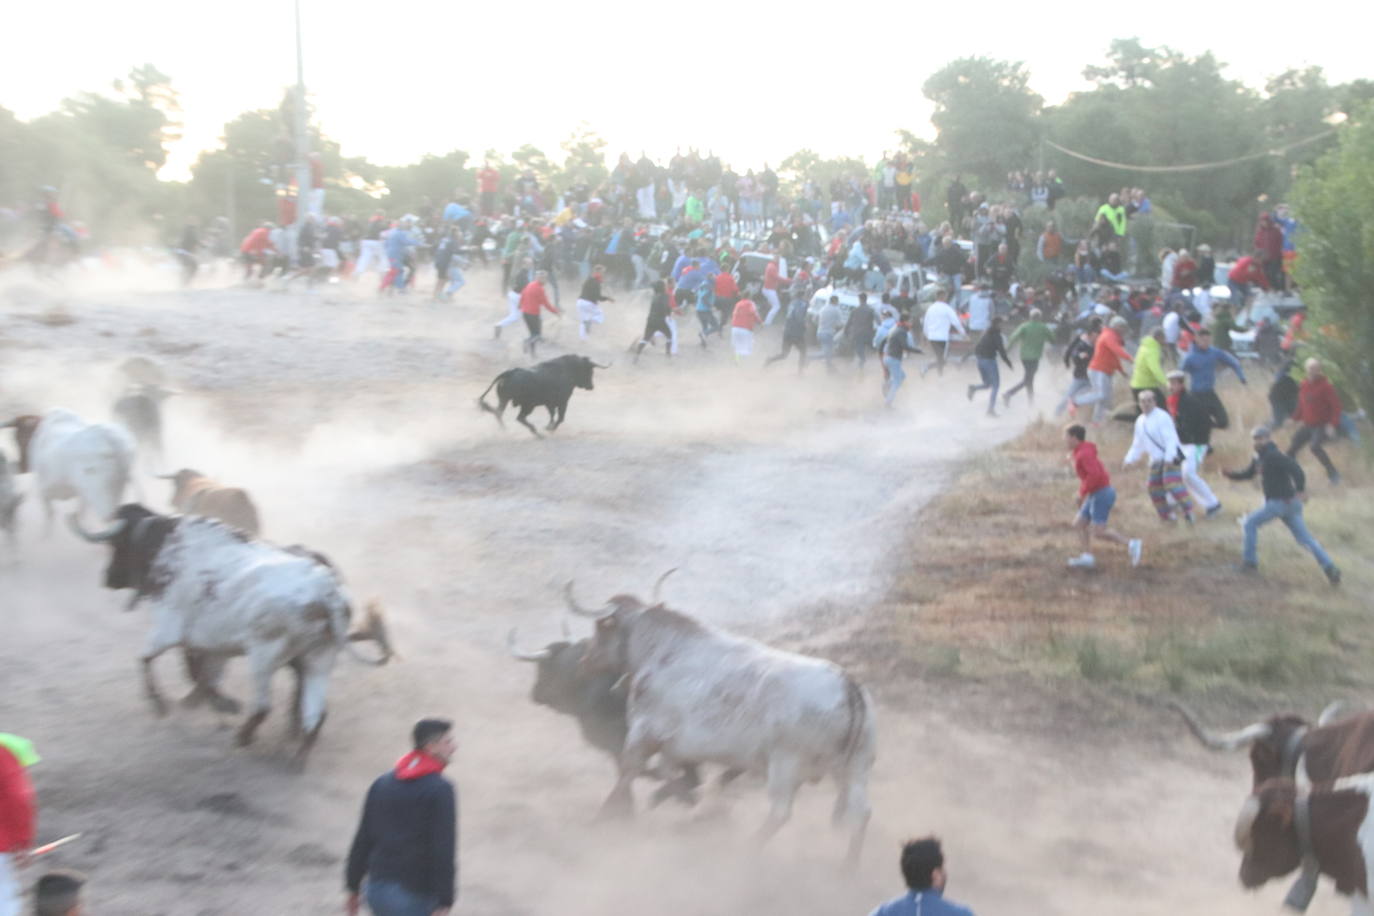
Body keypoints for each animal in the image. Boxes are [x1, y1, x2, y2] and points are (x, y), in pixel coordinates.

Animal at [478, 354, 607, 436]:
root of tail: (510, 372)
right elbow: (560, 418)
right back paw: (537, 434)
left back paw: (505, 430)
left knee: (498, 413)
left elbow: (552, 415)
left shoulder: (549, 403)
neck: (568, 370)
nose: (591, 386)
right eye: (589, 371)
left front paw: (548, 427)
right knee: (519, 418)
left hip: (504, 400)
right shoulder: (563, 401)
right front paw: (550, 429)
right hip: (527, 405)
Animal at [563, 576, 873, 862]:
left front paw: (602, 817)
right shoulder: (674, 748)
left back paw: (749, 849)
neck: (663, 651)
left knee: (781, 812)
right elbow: (674, 776)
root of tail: (847, 685)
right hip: (856, 766)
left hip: (786, 764)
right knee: (860, 813)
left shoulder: (643, 733)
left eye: (601, 628)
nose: (583, 663)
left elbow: (628, 774)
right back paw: (847, 867)